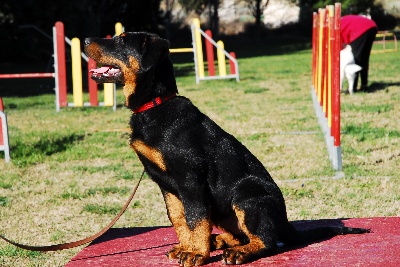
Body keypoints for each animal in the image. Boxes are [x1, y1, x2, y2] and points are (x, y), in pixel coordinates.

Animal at [83, 32, 368, 266]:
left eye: (121, 40)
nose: (85, 40)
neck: (155, 105)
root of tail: (284, 222)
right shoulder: (167, 186)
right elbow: (179, 219)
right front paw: (186, 248)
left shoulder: (190, 179)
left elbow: (195, 218)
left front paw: (196, 254)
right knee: (242, 234)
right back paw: (218, 241)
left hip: (246, 194)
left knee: (267, 240)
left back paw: (238, 253)